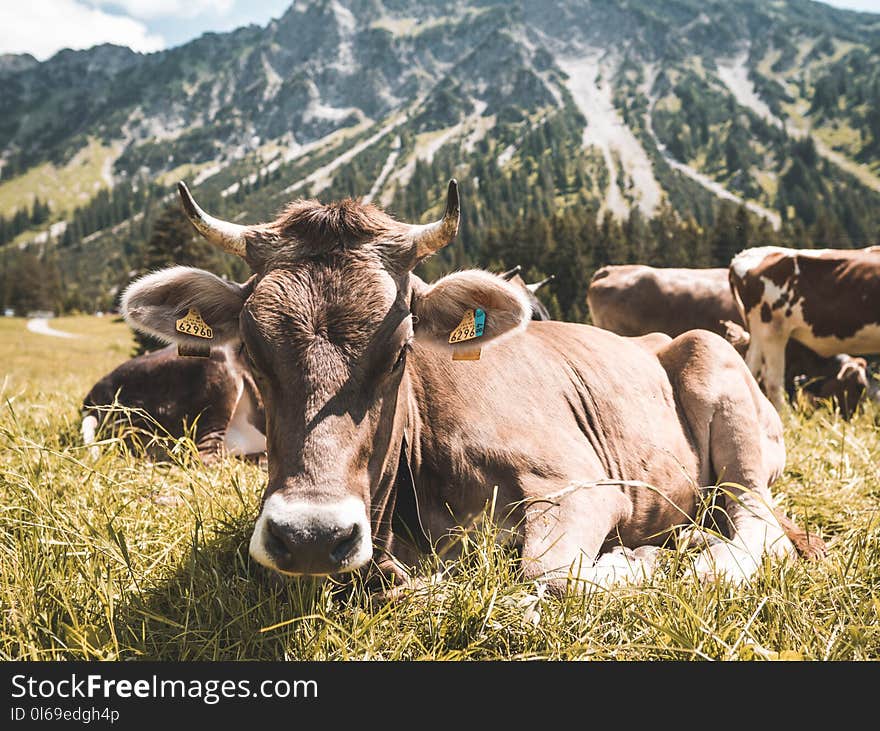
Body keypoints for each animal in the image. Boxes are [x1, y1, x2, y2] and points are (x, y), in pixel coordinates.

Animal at [115, 179, 820, 596]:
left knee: (761, 528)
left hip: (716, 373)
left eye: (399, 352)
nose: (311, 536)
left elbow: (550, 573)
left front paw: (633, 562)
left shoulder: (582, 484)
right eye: (251, 354)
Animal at [728, 247, 880, 412]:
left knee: (751, 370)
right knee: (773, 381)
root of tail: (743, 255)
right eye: (859, 386)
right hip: (773, 330)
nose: (851, 415)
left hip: (759, 332)